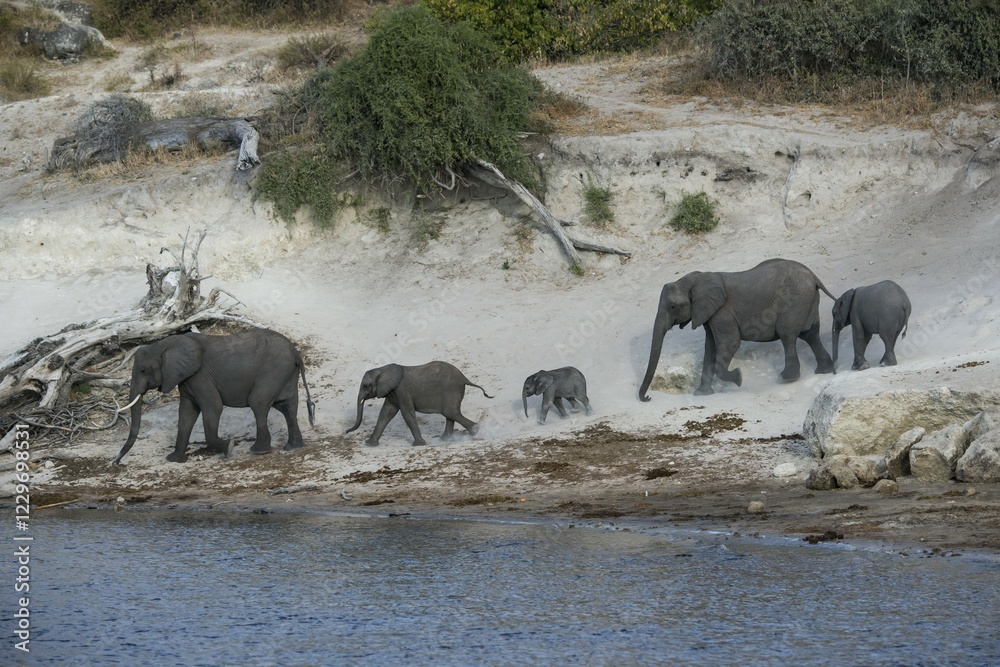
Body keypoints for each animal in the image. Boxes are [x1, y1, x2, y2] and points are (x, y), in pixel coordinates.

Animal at [112, 328, 315, 465]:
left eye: (143, 370)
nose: (115, 462)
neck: (164, 344)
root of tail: (296, 353)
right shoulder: (187, 378)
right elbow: (186, 413)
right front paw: (174, 460)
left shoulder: (200, 376)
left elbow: (213, 407)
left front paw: (229, 447)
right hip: (284, 372)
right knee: (287, 406)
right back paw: (293, 447)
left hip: (273, 371)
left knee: (258, 403)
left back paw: (259, 451)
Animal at [346, 360, 493, 447]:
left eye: (366, 386)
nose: (346, 431)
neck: (383, 369)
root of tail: (464, 378)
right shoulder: (392, 392)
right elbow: (386, 413)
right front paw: (370, 444)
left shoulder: (402, 390)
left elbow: (407, 413)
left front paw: (419, 444)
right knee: (450, 413)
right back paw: (445, 440)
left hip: (451, 389)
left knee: (450, 412)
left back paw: (474, 431)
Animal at [639, 258, 836, 399]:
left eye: (672, 307)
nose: (647, 398)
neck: (692, 279)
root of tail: (814, 277)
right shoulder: (709, 314)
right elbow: (710, 348)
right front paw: (701, 394)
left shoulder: (722, 312)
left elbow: (730, 344)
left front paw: (739, 378)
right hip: (807, 300)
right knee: (811, 335)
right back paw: (824, 370)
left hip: (794, 300)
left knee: (787, 334)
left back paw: (788, 378)